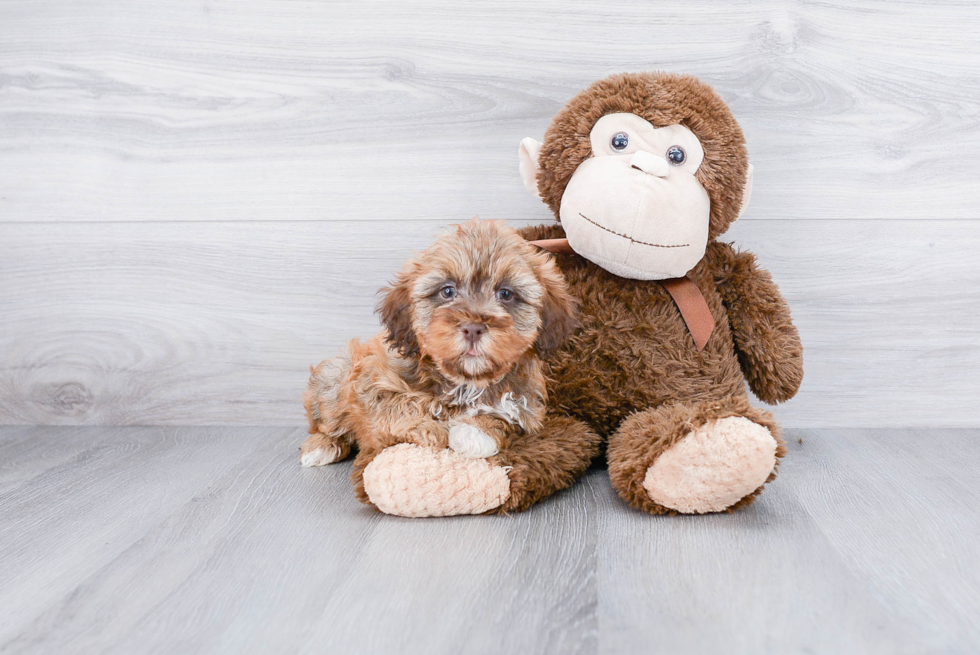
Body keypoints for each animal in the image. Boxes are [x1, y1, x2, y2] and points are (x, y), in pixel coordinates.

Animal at [298, 218, 576, 468]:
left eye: (506, 294)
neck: (465, 383)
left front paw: (475, 433)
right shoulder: (370, 376)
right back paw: (321, 446)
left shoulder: (525, 405)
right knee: (328, 421)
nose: (473, 328)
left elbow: (502, 415)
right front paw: (428, 428)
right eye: (447, 291)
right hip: (334, 374)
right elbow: (396, 404)